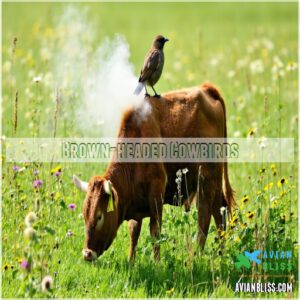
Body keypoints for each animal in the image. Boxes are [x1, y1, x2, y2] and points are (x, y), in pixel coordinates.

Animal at [72, 83, 234, 262]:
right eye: (84, 214)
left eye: (99, 216)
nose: (87, 253)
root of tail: (205, 89)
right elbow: (134, 231)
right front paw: (131, 261)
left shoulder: (156, 193)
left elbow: (155, 232)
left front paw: (157, 262)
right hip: (214, 182)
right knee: (220, 213)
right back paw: (221, 254)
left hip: (206, 180)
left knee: (204, 218)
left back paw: (196, 257)